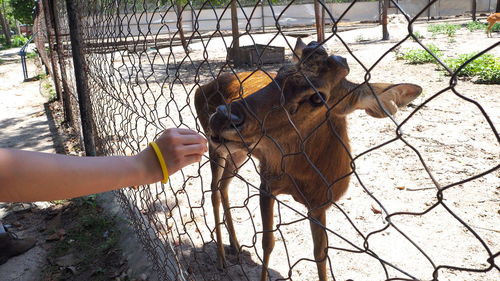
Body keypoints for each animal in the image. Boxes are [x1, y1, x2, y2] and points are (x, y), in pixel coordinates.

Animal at [193, 40, 420, 280]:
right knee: (213, 189)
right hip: (214, 145)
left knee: (223, 185)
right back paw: (220, 258)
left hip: (238, 152)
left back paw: (235, 245)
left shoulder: (320, 204)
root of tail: (201, 87)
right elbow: (268, 242)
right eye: (279, 73)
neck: (307, 179)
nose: (222, 117)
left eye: (317, 97)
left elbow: (321, 253)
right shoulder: (267, 181)